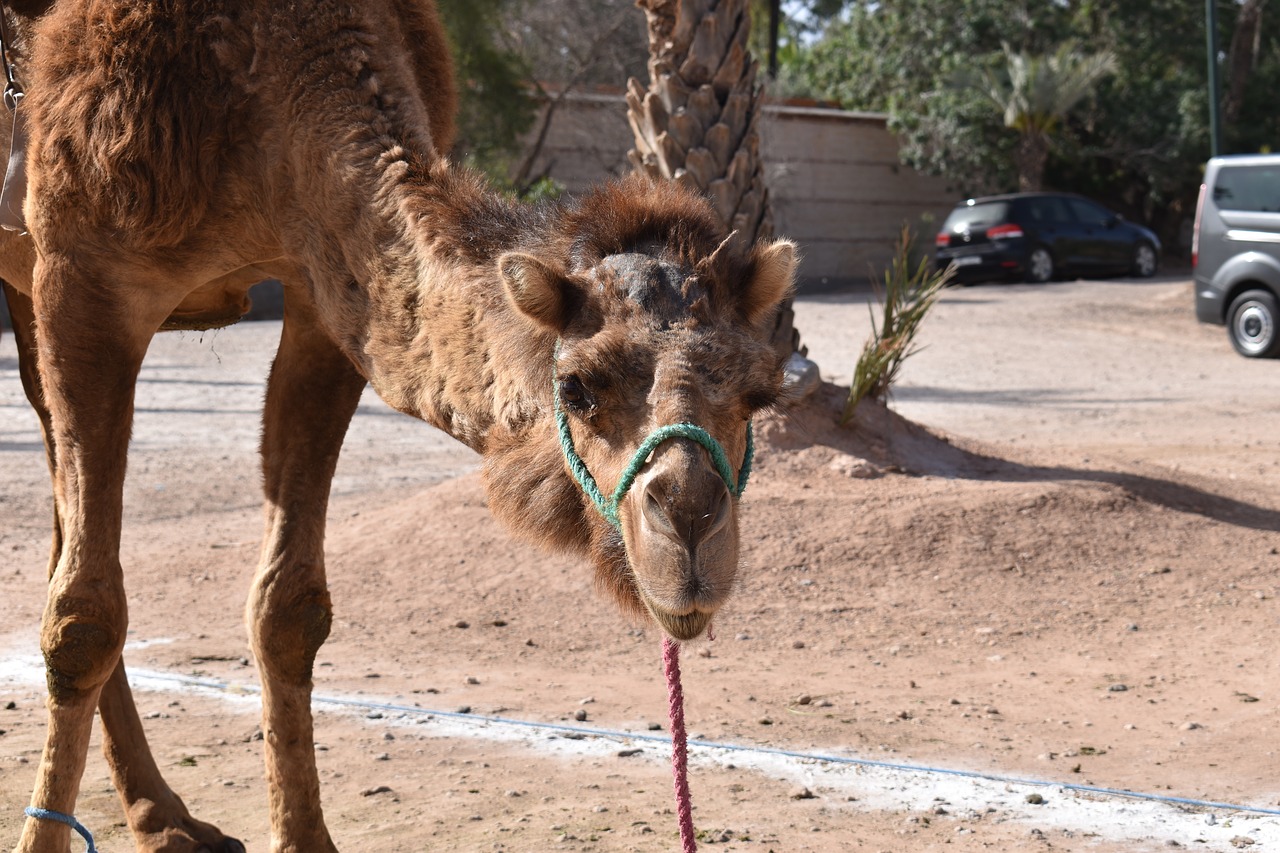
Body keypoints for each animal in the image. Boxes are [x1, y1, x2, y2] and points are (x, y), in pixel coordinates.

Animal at [2, 3, 798, 845]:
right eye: (578, 386)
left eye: (761, 390)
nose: (691, 526)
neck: (261, 70)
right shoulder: (83, 276)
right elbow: (84, 618)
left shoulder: (324, 295)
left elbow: (289, 608)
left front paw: (304, 834)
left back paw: (163, 814)